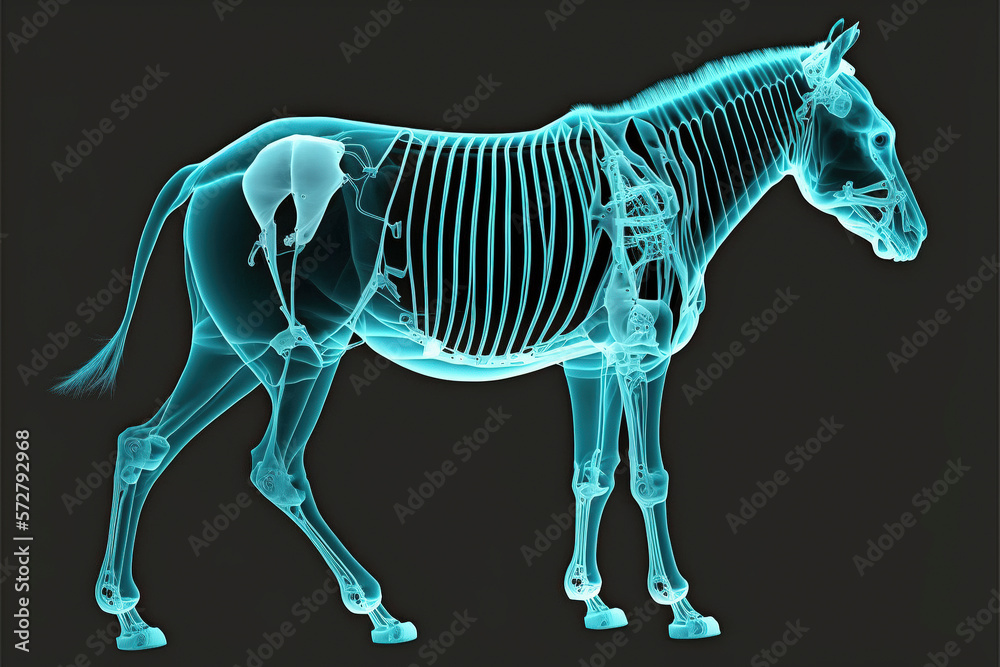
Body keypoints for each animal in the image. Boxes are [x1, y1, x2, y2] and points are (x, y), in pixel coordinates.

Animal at [56, 20, 926, 649]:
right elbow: (650, 477)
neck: (663, 182)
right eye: (881, 137)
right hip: (310, 345)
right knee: (276, 465)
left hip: (233, 342)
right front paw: (680, 607)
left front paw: (594, 601)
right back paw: (377, 610)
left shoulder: (591, 357)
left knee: (142, 442)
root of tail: (210, 166)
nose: (916, 237)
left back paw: (128, 615)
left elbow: (593, 473)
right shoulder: (641, 351)